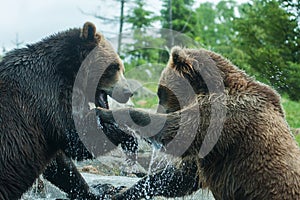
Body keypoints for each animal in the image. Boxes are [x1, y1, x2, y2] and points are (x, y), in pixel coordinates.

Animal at [0, 21, 137, 200]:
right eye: (114, 67)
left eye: (122, 68)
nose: (128, 92)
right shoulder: (46, 97)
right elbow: (77, 136)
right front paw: (127, 133)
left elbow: (60, 165)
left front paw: (101, 189)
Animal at [98, 46, 300, 198]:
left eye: (161, 93)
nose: (159, 109)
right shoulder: (211, 153)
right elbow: (181, 176)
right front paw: (120, 192)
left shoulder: (222, 119)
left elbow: (178, 131)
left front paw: (105, 112)